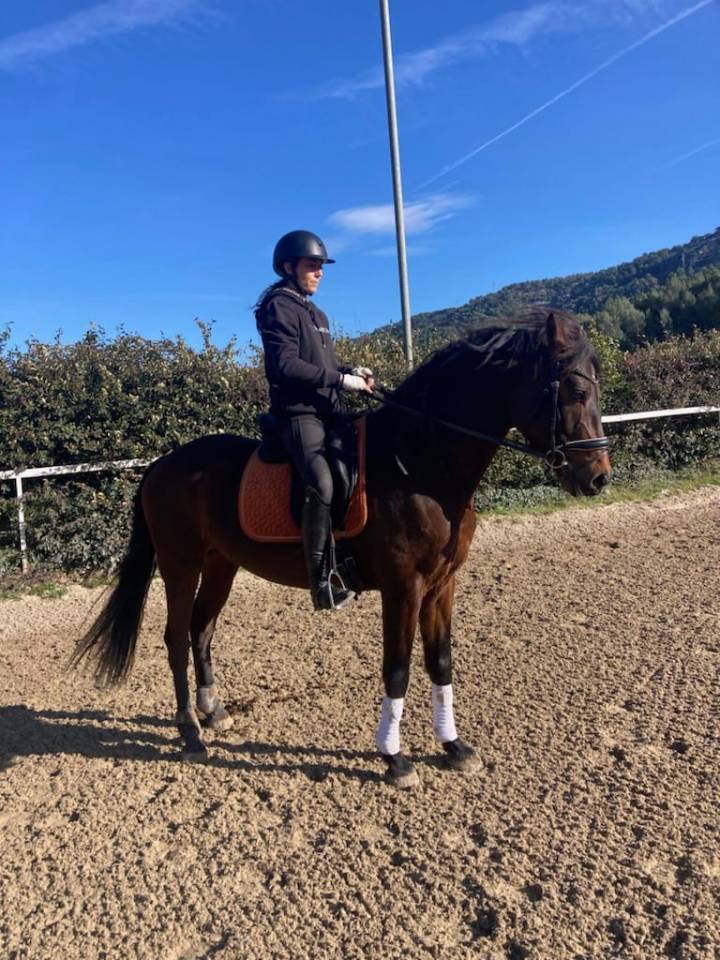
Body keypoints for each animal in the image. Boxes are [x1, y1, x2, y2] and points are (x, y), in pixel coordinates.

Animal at [73, 308, 611, 787]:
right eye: (577, 391)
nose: (598, 479)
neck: (421, 463)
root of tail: (162, 464)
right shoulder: (404, 587)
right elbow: (397, 669)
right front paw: (395, 759)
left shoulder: (443, 584)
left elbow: (440, 662)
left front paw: (454, 747)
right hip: (179, 565)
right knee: (176, 638)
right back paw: (189, 732)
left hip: (221, 564)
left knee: (202, 630)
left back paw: (214, 713)